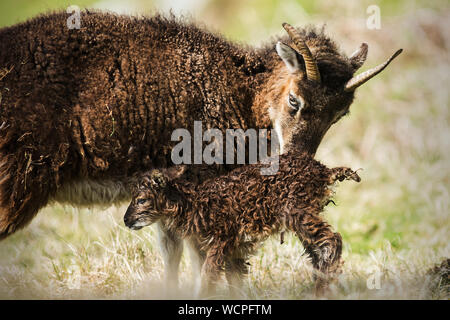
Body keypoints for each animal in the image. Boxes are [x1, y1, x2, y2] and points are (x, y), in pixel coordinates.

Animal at [124, 151, 362, 296]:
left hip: (297, 210)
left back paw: (322, 290)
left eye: (142, 200)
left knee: (332, 240)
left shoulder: (221, 240)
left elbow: (208, 277)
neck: (195, 204)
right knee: (319, 249)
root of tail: (323, 171)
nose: (126, 220)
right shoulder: (235, 249)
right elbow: (235, 281)